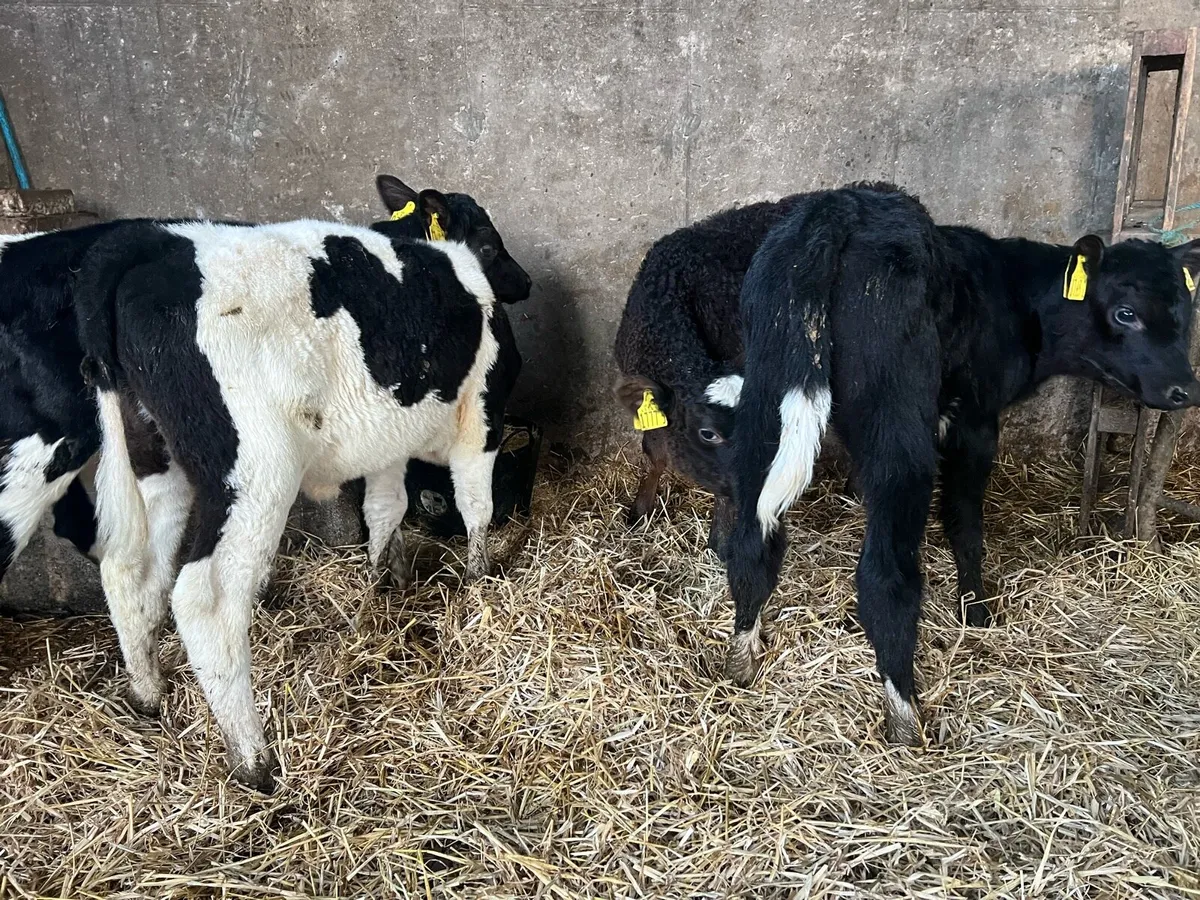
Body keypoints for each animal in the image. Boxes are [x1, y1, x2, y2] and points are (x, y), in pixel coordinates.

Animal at [722, 181, 1199, 745]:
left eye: (1185, 310)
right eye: (1126, 312)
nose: (1185, 389)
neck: (1014, 294)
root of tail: (844, 206)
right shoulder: (975, 420)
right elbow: (965, 519)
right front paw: (976, 608)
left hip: (765, 391)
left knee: (751, 537)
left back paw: (742, 656)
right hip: (899, 427)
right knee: (885, 574)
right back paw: (905, 714)